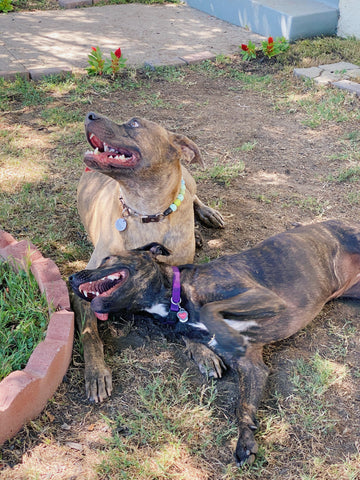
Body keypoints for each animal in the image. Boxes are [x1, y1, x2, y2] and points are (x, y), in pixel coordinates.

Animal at [68, 220, 360, 464]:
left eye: (107, 258)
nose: (71, 277)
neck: (176, 297)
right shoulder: (252, 365)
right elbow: (243, 406)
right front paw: (246, 439)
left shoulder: (262, 296)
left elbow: (211, 310)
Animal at [74, 113, 224, 404]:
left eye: (134, 123)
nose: (89, 114)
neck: (147, 213)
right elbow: (90, 335)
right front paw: (96, 373)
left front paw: (201, 350)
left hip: (190, 180)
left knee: (192, 195)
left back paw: (205, 215)